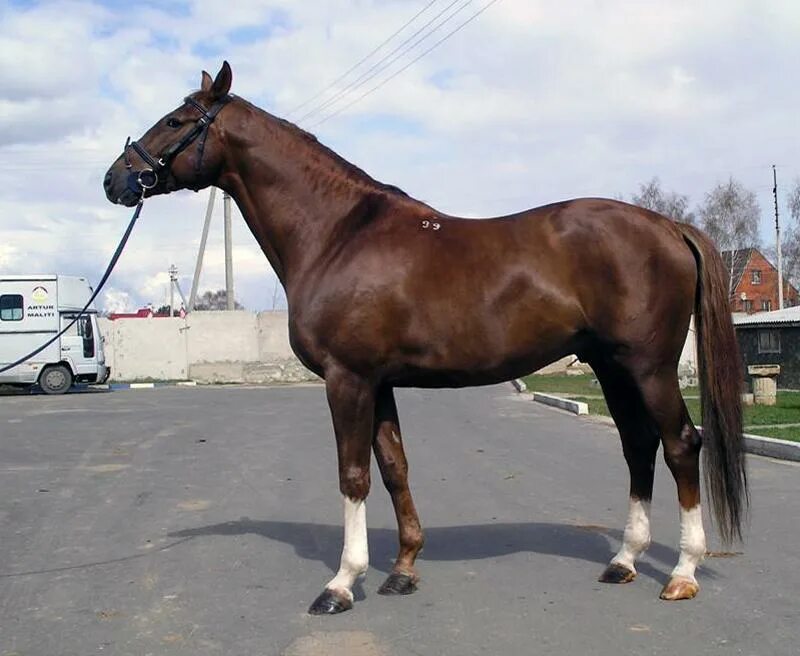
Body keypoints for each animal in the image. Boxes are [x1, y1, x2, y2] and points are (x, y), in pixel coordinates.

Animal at [103, 61, 748, 616]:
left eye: (176, 121)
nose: (115, 179)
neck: (337, 234)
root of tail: (669, 225)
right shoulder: (379, 382)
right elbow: (394, 468)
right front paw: (402, 569)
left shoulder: (347, 380)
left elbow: (353, 475)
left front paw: (342, 583)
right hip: (611, 368)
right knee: (638, 445)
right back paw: (624, 561)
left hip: (648, 367)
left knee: (681, 444)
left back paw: (683, 573)